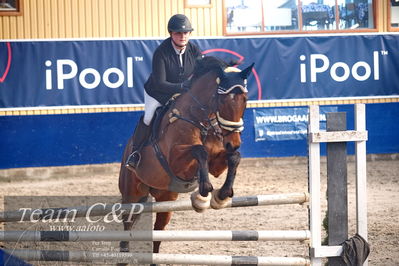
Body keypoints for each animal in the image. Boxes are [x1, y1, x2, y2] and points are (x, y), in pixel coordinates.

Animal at [119, 55, 253, 256]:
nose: (233, 142)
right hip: (132, 193)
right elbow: (199, 150)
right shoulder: (176, 161)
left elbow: (233, 157)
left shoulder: (216, 164)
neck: (200, 119)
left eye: (245, 99)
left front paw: (223, 194)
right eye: (223, 101)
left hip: (165, 198)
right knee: (127, 224)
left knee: (158, 232)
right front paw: (204, 191)